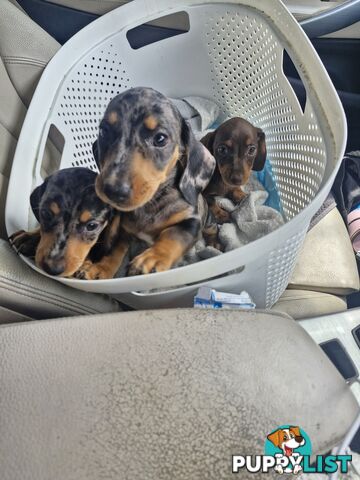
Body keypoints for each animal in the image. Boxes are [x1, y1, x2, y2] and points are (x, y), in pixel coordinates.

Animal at [80, 88, 215, 280]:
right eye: (104, 131)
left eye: (160, 138)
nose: (112, 190)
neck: (151, 202)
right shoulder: (123, 230)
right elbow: (113, 250)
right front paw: (100, 269)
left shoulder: (191, 222)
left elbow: (173, 235)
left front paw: (152, 259)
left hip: (208, 221)